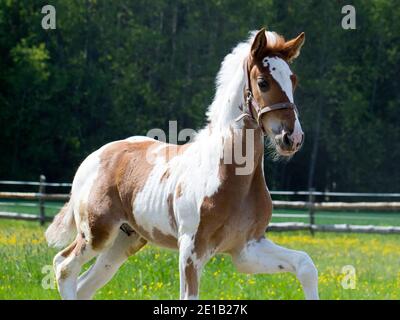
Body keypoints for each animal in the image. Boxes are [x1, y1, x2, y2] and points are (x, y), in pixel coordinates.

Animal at [45, 28, 318, 300]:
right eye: (263, 82)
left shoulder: (247, 248)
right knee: (63, 266)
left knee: (84, 285)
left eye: (293, 80)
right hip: (97, 233)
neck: (230, 175)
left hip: (125, 241)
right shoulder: (190, 249)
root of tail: (93, 158)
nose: (292, 137)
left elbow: (306, 265)